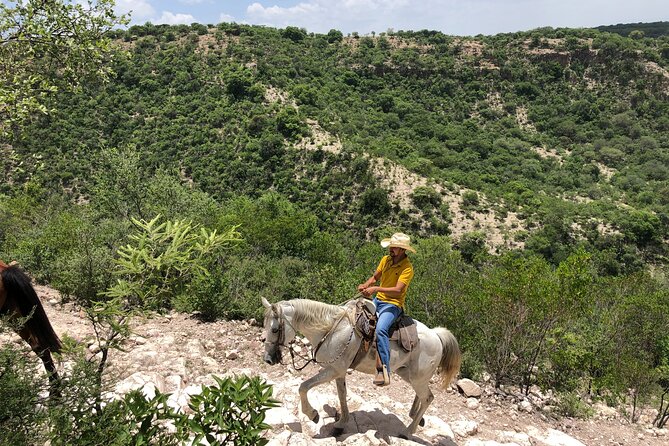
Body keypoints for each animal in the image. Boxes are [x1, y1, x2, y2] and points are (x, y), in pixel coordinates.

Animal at [260, 298, 460, 438]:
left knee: (428, 398)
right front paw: (340, 424)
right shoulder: (338, 372)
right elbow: (342, 395)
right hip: (408, 374)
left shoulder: (334, 370)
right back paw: (416, 418)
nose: (268, 359)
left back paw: (408, 431)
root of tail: (436, 334)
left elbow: (303, 387)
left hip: (418, 378)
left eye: (275, 329)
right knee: (422, 396)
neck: (330, 329)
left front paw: (313, 414)